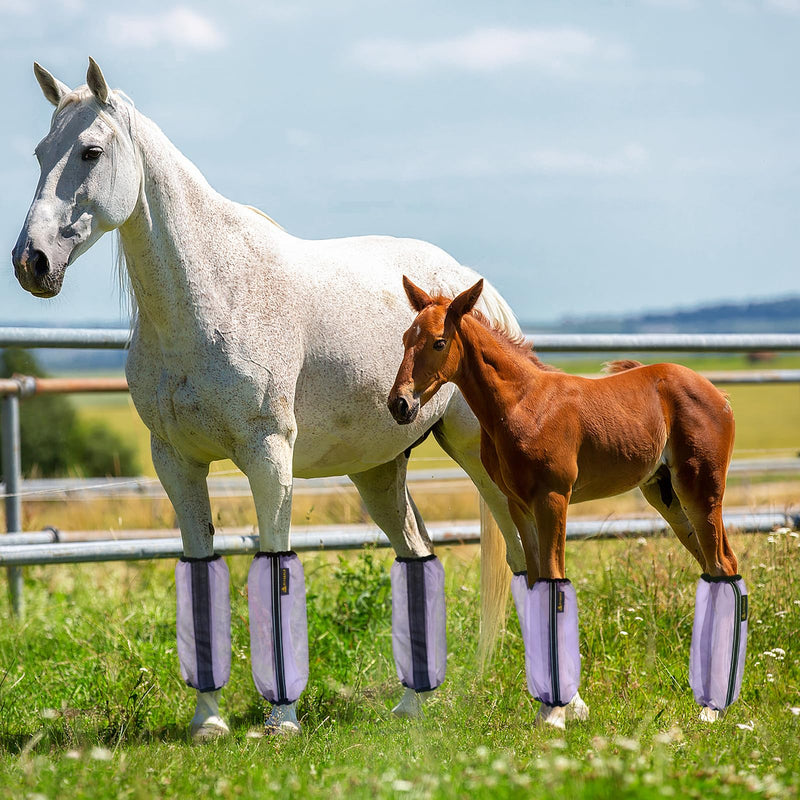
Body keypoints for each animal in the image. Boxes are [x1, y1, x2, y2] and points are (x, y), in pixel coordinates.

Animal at [10, 58, 597, 738]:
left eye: (90, 151)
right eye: (39, 152)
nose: (31, 262)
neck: (209, 295)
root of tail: (476, 292)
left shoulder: (269, 458)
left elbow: (275, 568)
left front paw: (281, 718)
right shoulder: (176, 463)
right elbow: (200, 575)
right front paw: (208, 722)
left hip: (484, 461)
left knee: (533, 561)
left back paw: (560, 706)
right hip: (379, 471)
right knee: (421, 554)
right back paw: (412, 705)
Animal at [388, 277, 749, 726]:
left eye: (439, 342)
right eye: (406, 338)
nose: (399, 404)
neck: (522, 403)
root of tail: (720, 395)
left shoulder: (553, 499)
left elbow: (555, 580)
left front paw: (557, 713)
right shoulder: (519, 505)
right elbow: (535, 582)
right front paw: (547, 707)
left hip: (701, 492)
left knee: (723, 565)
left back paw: (713, 707)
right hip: (668, 498)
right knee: (718, 568)